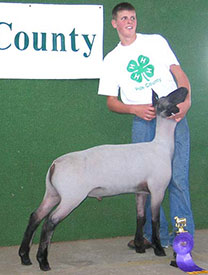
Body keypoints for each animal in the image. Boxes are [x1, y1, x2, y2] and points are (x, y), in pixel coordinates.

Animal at [18, 87, 188, 272]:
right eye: (170, 98)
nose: (185, 89)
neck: (162, 147)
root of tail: (55, 164)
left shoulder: (140, 191)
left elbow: (140, 217)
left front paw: (139, 247)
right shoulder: (158, 189)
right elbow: (154, 220)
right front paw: (158, 249)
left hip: (52, 194)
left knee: (36, 216)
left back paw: (25, 257)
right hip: (71, 197)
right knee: (49, 222)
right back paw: (43, 261)